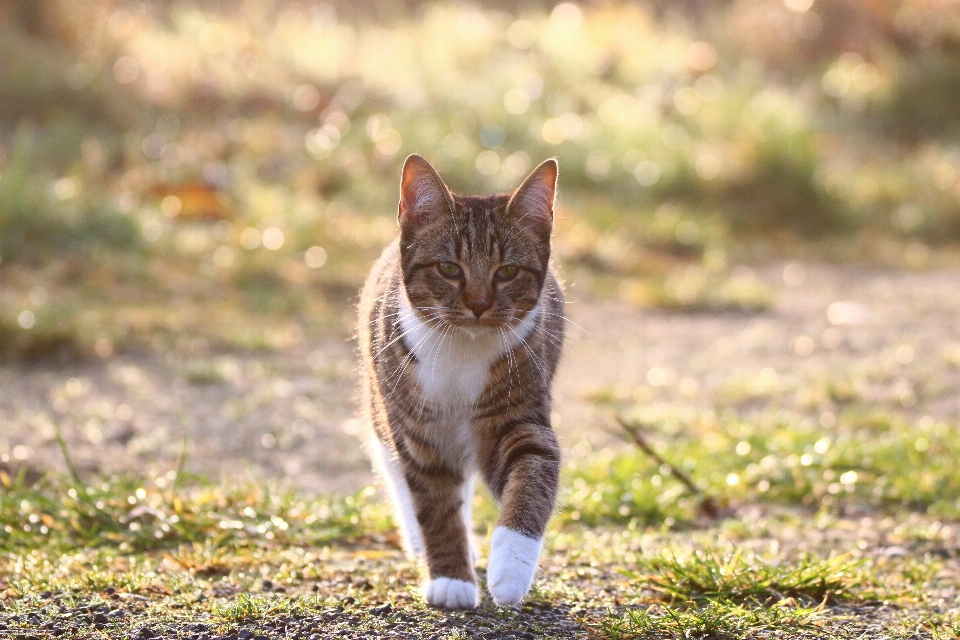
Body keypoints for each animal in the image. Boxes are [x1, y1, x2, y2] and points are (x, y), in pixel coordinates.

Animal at [358, 152, 568, 608]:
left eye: (507, 271)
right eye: (449, 268)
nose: (479, 304)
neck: (462, 351)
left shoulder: (521, 415)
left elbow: (531, 474)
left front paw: (510, 571)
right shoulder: (417, 430)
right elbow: (434, 502)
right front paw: (451, 581)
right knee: (395, 466)